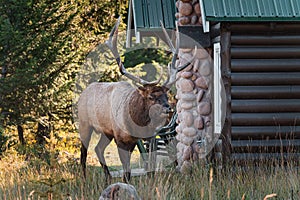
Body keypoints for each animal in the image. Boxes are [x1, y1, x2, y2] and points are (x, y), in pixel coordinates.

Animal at [77, 17, 196, 183]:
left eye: (166, 96)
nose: (168, 108)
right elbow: (126, 170)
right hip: (84, 123)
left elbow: (143, 167)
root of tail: (83, 92)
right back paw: (84, 179)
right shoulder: (120, 138)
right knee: (83, 152)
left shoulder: (135, 140)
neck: (136, 123)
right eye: (151, 97)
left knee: (98, 148)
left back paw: (108, 177)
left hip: (106, 132)